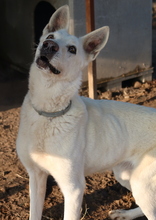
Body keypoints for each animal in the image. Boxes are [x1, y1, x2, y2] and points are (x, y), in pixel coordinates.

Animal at [16, 5, 156, 220]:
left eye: (72, 49)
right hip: (125, 175)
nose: (49, 45)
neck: (50, 114)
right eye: (50, 35)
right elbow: (34, 213)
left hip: (143, 185)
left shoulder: (73, 189)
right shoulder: (36, 176)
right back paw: (125, 214)